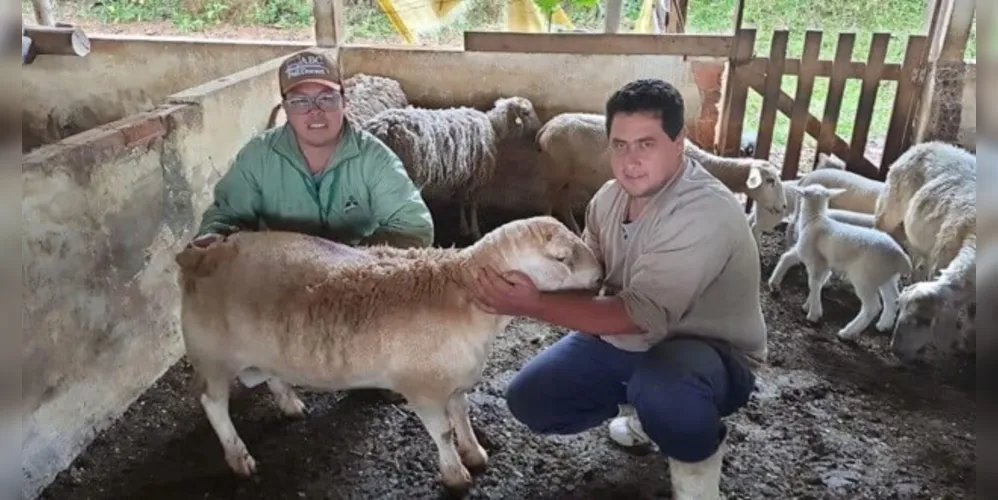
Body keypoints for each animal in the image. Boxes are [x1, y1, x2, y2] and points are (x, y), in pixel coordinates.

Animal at [172, 215, 600, 492]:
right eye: (561, 258)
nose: (599, 276)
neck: (462, 296)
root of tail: (202, 256)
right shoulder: (422, 387)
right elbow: (443, 431)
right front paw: (455, 475)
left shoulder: (455, 380)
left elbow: (462, 414)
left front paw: (475, 454)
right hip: (213, 356)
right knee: (213, 403)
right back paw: (238, 457)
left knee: (271, 373)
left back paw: (290, 404)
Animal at [364, 97, 544, 240]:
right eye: (526, 112)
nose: (539, 130)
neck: (493, 127)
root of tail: (385, 128)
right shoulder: (477, 174)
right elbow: (473, 202)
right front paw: (475, 230)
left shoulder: (463, 172)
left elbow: (461, 198)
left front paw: (463, 227)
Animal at [768, 184, 916, 340]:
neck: (815, 219)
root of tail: (901, 257)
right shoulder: (819, 259)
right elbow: (791, 260)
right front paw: (778, 286)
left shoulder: (815, 260)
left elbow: (814, 283)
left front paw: (814, 313)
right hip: (886, 276)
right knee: (892, 299)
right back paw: (884, 325)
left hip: (865, 277)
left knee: (872, 307)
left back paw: (848, 332)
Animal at [880, 141, 980, 364]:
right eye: (899, 308)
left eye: (925, 320)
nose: (895, 350)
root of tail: (931, 143)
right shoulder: (942, 262)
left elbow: (973, 314)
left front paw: (969, 344)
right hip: (891, 205)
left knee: (917, 259)